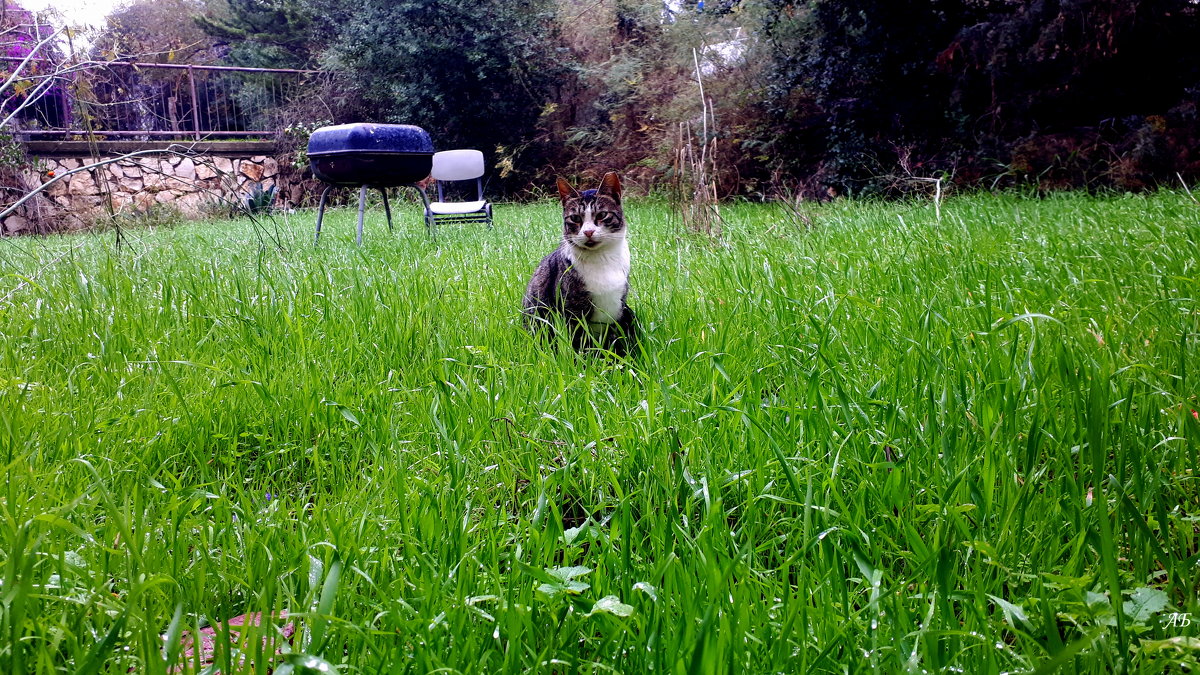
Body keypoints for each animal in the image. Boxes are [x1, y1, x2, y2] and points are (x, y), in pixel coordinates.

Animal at [523, 170, 638, 355]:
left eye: (602, 215)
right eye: (575, 218)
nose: (588, 231)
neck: (602, 258)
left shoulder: (619, 310)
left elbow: (617, 342)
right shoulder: (572, 311)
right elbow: (578, 343)